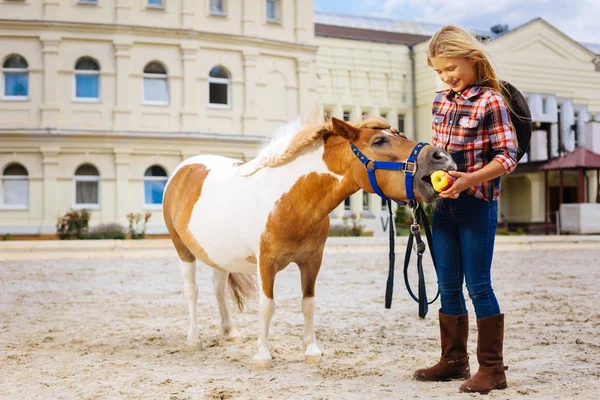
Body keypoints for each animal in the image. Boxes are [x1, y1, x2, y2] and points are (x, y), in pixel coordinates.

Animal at [163, 114, 454, 368]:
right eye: (379, 141)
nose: (441, 157)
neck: (292, 201)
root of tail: (184, 169)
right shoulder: (265, 264)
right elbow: (267, 307)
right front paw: (262, 356)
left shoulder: (312, 261)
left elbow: (308, 303)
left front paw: (311, 351)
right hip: (182, 249)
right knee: (192, 291)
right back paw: (194, 340)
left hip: (219, 255)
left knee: (218, 289)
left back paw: (229, 332)